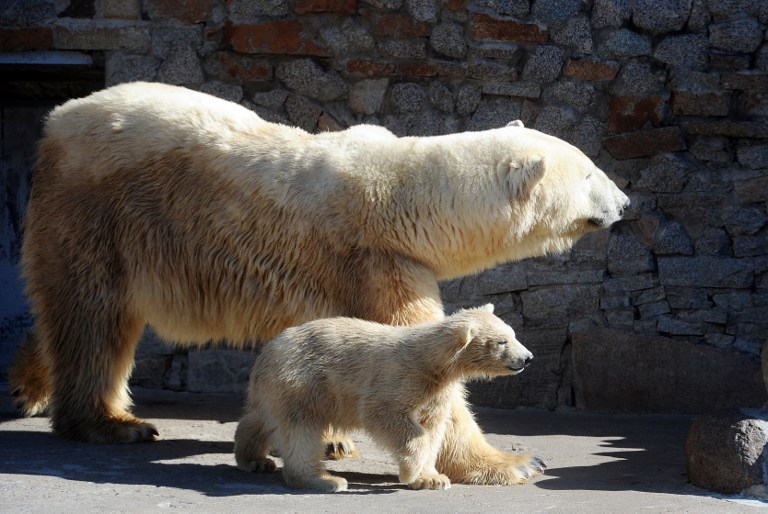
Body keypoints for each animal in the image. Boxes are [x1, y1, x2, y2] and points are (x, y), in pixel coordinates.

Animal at [9, 81, 628, 484]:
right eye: (590, 172)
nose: (625, 202)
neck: (398, 199)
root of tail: (58, 117)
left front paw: (333, 437)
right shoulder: (377, 263)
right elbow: (424, 365)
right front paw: (517, 461)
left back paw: (28, 385)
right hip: (100, 209)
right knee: (95, 316)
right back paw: (114, 423)